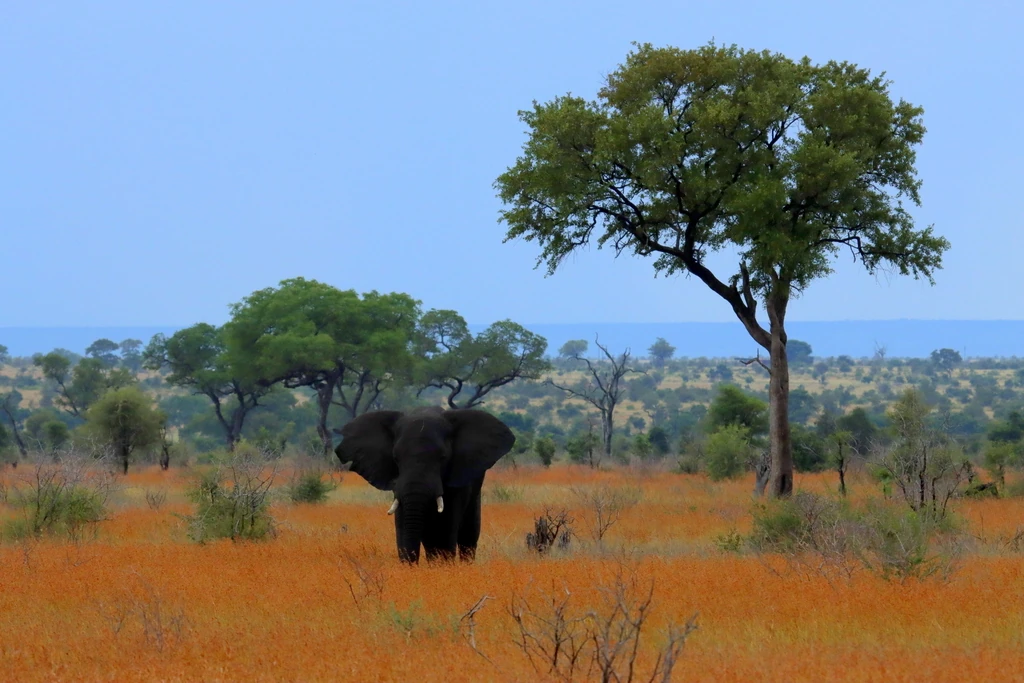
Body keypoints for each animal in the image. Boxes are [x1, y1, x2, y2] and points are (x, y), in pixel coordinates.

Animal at [333, 409, 516, 565]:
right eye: (395, 458)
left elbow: (446, 527)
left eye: (443, 457)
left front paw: (444, 568)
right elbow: (403, 523)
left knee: (468, 534)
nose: (412, 564)